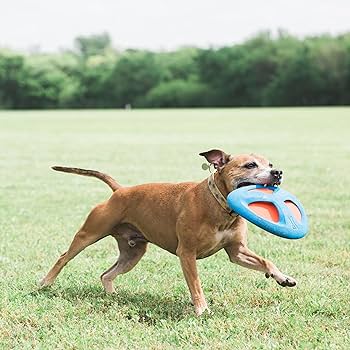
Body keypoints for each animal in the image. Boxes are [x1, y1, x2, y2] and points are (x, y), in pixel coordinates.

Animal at [39, 149, 296, 316]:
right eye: (250, 165)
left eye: (270, 164)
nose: (278, 172)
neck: (220, 206)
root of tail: (120, 190)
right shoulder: (187, 254)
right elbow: (196, 284)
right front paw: (202, 309)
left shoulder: (237, 252)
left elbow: (265, 261)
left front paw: (283, 277)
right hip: (89, 234)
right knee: (63, 257)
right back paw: (45, 283)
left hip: (133, 253)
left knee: (106, 274)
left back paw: (112, 295)